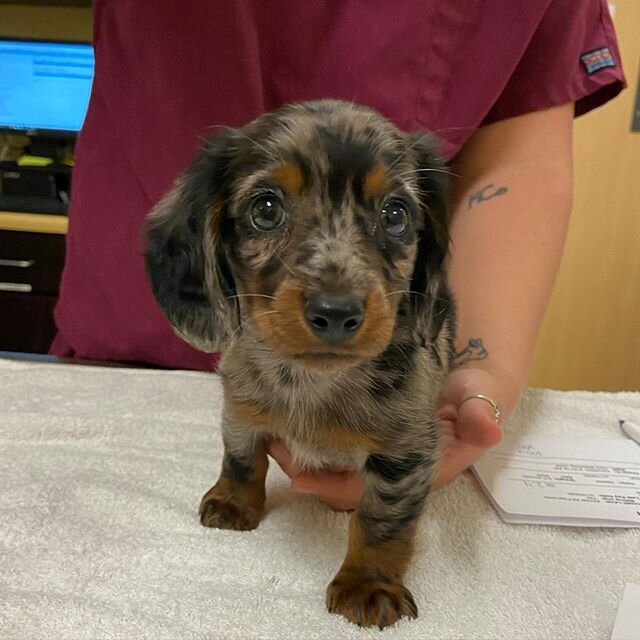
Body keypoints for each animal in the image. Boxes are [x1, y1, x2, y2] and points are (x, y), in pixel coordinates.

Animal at [145, 101, 456, 632]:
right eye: (266, 209)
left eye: (395, 214)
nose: (336, 312)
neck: (314, 381)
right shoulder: (240, 404)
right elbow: (242, 455)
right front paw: (234, 501)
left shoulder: (408, 450)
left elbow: (382, 518)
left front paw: (368, 583)